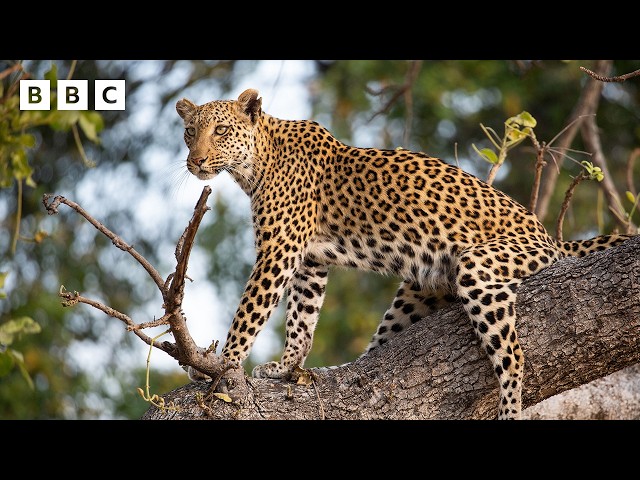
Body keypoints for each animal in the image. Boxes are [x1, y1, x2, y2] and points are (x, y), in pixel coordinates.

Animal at [175, 88, 636, 418]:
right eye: (189, 132)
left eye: (220, 130)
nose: (194, 161)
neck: (255, 164)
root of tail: (551, 239)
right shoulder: (310, 261)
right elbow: (301, 318)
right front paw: (287, 367)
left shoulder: (279, 251)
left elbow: (250, 313)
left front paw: (222, 367)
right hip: (416, 292)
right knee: (382, 347)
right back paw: (338, 372)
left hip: (480, 266)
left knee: (514, 356)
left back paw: (510, 408)